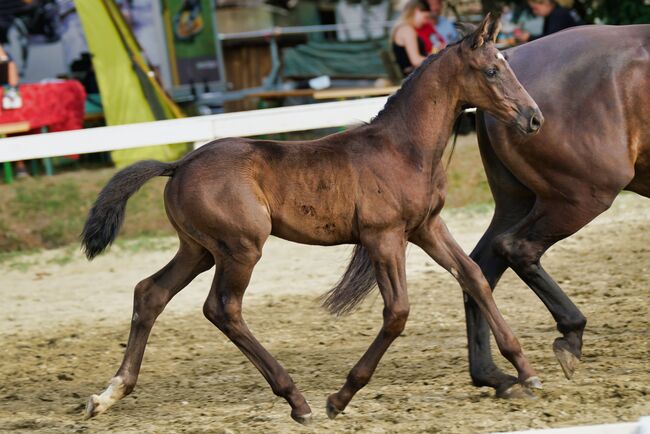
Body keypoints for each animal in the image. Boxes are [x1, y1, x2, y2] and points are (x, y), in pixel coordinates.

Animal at [81, 14, 543, 424]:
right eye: (491, 70)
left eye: (507, 64)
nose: (534, 118)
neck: (402, 148)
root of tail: (178, 164)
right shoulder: (384, 237)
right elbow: (397, 312)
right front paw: (341, 397)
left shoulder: (427, 227)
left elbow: (474, 277)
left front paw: (525, 371)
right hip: (240, 249)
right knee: (222, 308)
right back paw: (296, 399)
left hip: (199, 249)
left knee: (151, 293)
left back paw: (108, 394)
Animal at [462, 24, 650, 396]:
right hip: (581, 197)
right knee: (516, 249)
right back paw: (571, 334)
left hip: (517, 202)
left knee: (480, 269)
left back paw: (491, 375)